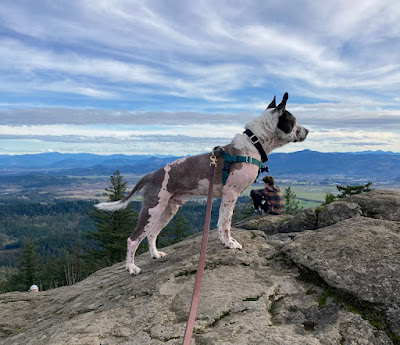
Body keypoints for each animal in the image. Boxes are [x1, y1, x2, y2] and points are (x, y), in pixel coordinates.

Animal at [95, 92, 308, 276]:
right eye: (294, 121)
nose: (307, 131)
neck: (253, 144)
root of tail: (151, 174)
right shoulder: (231, 194)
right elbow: (226, 223)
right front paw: (230, 244)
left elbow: (221, 223)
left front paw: (226, 242)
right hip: (152, 210)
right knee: (132, 239)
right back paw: (131, 268)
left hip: (168, 210)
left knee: (152, 234)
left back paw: (155, 255)